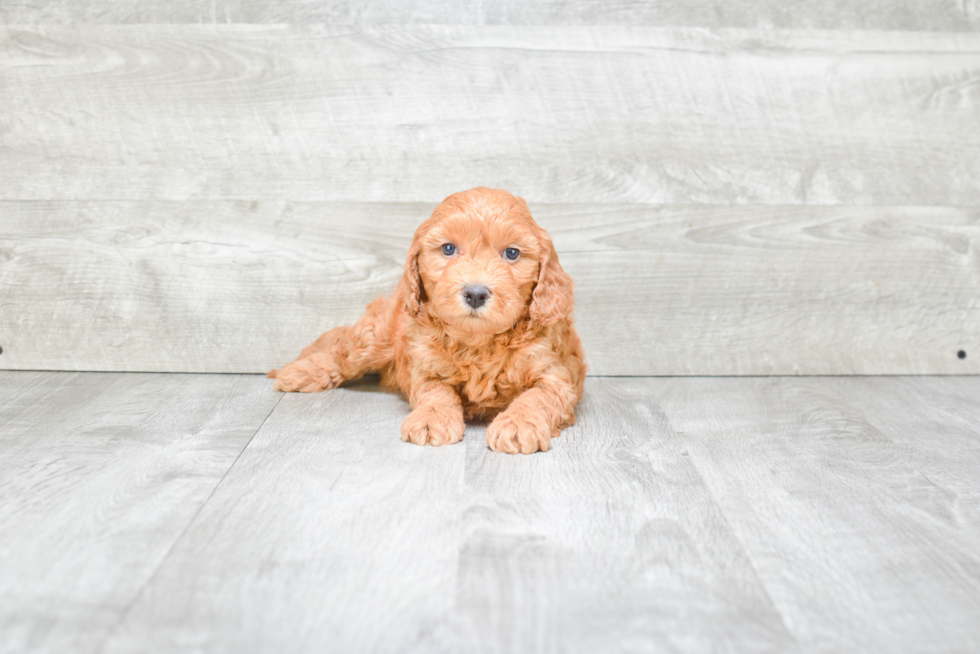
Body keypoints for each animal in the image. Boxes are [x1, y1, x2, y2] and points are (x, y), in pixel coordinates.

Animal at [268, 187, 584, 454]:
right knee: (343, 351)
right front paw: (432, 419)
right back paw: (299, 371)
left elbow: (536, 397)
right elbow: (436, 393)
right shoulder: (427, 369)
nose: (475, 293)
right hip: (376, 336)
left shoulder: (554, 376)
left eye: (512, 253)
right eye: (448, 249)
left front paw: (518, 424)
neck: (479, 342)